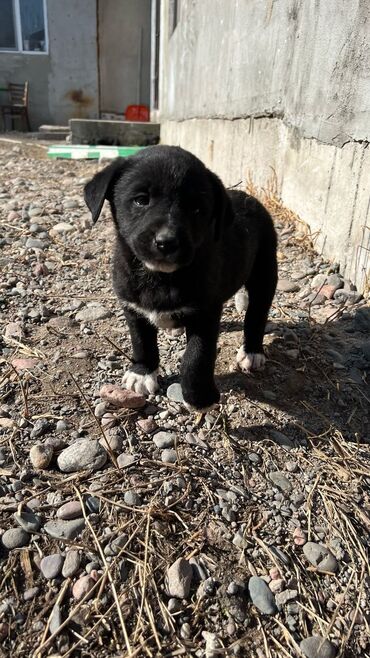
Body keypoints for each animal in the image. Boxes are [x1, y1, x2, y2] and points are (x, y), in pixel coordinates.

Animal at [83, 146, 274, 408]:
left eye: (196, 209)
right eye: (141, 200)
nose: (167, 241)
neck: (160, 278)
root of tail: (251, 199)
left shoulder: (205, 313)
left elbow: (196, 357)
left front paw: (200, 397)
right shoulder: (132, 307)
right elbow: (141, 341)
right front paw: (142, 372)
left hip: (264, 272)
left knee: (257, 313)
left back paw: (253, 352)